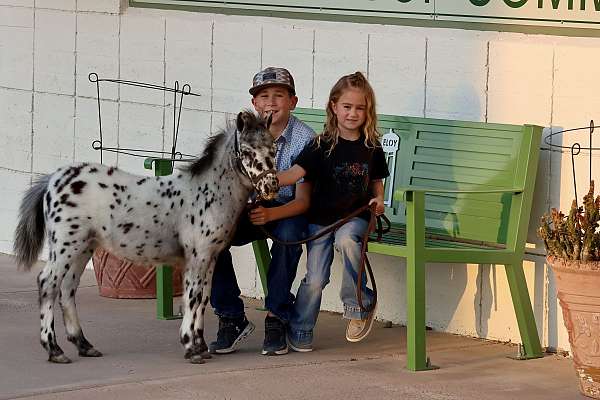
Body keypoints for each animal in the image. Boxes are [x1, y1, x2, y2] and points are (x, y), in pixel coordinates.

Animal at [13, 111, 276, 364]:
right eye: (247, 151)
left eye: (273, 147)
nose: (271, 186)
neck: (206, 193)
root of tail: (54, 179)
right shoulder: (198, 256)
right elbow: (193, 297)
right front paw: (191, 348)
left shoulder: (211, 257)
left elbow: (203, 298)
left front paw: (200, 346)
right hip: (66, 246)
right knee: (48, 283)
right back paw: (54, 350)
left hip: (83, 247)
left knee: (67, 288)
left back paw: (84, 345)